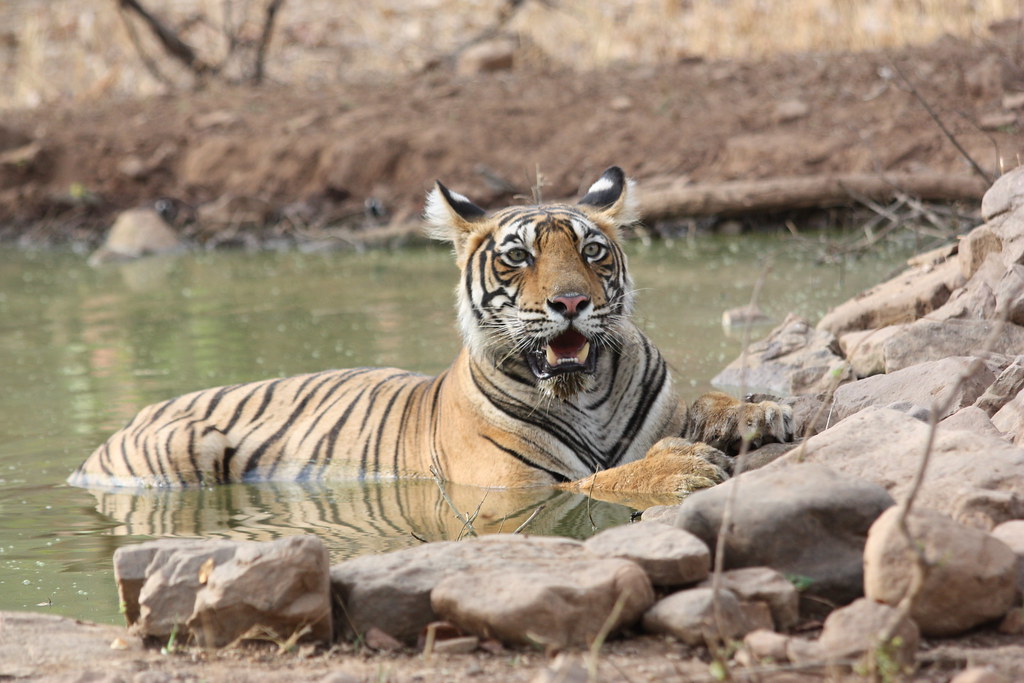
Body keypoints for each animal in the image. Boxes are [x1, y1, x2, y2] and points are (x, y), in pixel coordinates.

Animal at [68, 167, 793, 502]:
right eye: (518, 256)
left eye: (592, 251)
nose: (571, 301)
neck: (583, 390)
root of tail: (122, 424)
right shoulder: (514, 484)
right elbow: (599, 478)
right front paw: (680, 466)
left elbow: (704, 403)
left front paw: (761, 411)